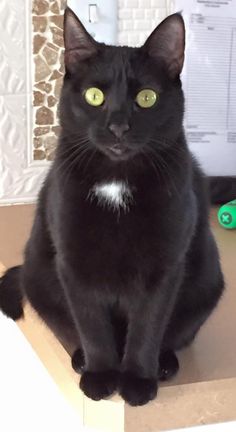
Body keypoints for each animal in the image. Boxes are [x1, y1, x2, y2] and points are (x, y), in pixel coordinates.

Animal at [0, 8, 230, 406]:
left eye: (147, 98)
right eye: (94, 96)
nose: (119, 126)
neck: (116, 181)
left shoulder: (164, 266)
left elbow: (148, 325)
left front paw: (137, 381)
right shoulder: (74, 262)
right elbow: (92, 324)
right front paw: (101, 376)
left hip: (206, 281)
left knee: (174, 334)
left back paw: (164, 364)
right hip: (39, 276)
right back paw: (80, 360)